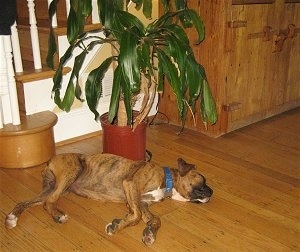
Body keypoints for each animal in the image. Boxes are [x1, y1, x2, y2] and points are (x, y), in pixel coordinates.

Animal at [4, 153, 211, 245]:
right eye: (203, 180)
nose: (212, 192)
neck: (167, 180)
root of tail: (50, 160)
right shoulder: (131, 185)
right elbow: (136, 216)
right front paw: (117, 225)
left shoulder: (141, 202)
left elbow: (153, 219)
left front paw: (149, 233)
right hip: (71, 172)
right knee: (48, 203)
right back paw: (58, 215)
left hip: (53, 187)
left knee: (27, 202)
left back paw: (12, 217)